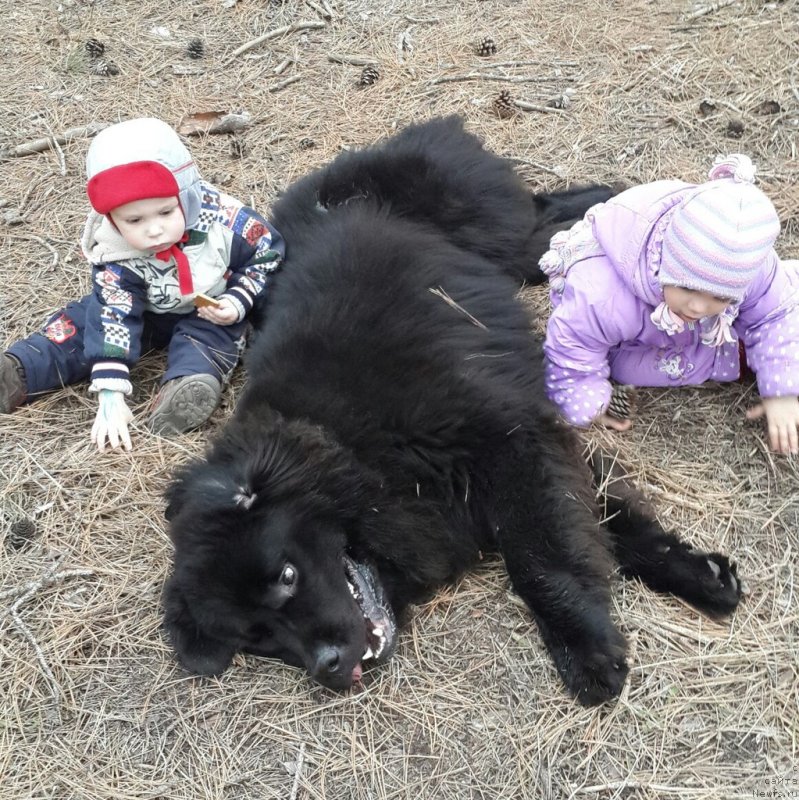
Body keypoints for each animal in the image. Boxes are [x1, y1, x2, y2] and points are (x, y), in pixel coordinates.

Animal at [164, 115, 744, 704]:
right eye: (257, 636)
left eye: (287, 576)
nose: (328, 666)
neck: (352, 445)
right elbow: (603, 517)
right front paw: (700, 574)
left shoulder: (512, 442)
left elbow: (542, 557)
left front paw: (587, 649)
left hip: (507, 241)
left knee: (542, 221)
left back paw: (613, 205)